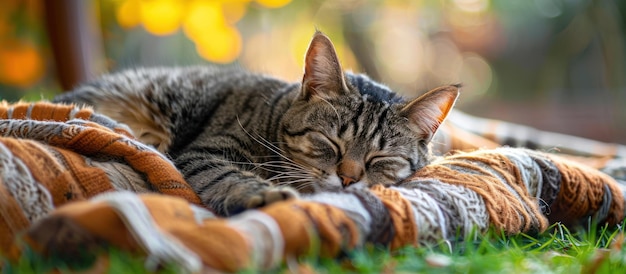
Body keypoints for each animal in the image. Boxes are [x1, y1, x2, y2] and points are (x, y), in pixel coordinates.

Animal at [54, 31, 458, 216]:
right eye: (330, 143)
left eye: (380, 160)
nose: (348, 179)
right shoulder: (209, 150)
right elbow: (229, 176)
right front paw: (262, 194)